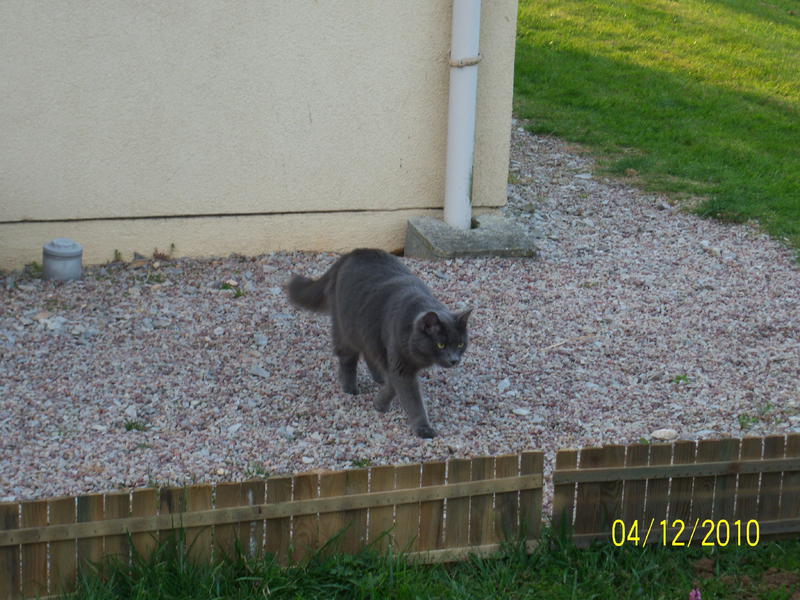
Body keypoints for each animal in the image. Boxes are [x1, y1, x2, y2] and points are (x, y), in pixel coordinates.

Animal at [287, 248, 471, 438]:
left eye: (460, 345)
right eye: (441, 345)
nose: (454, 360)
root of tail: (354, 252)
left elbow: (394, 384)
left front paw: (380, 402)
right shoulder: (400, 364)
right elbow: (410, 398)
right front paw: (422, 428)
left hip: (369, 333)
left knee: (369, 354)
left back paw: (377, 378)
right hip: (346, 327)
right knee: (348, 357)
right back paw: (350, 388)